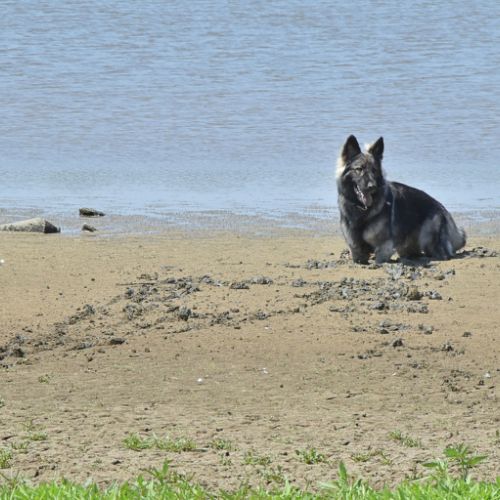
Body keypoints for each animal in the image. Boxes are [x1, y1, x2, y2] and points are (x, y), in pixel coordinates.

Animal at [336, 135, 466, 264]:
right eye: (359, 169)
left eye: (374, 170)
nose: (372, 186)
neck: (362, 210)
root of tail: (442, 207)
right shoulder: (355, 249)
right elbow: (358, 257)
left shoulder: (385, 246)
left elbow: (379, 260)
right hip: (406, 246)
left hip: (427, 239)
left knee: (442, 255)